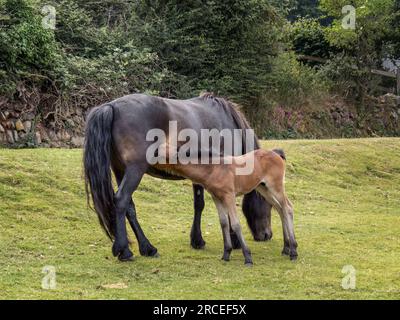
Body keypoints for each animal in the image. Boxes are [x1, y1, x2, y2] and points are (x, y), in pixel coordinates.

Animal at [154, 148, 296, 264]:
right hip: (264, 189)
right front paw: (226, 254)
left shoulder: (229, 196)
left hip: (275, 187)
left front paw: (247, 257)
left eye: (159, 154)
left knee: (287, 208)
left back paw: (293, 251)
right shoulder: (217, 198)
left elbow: (235, 224)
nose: (150, 162)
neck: (214, 169)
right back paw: (286, 248)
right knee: (280, 209)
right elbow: (223, 223)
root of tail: (276, 154)